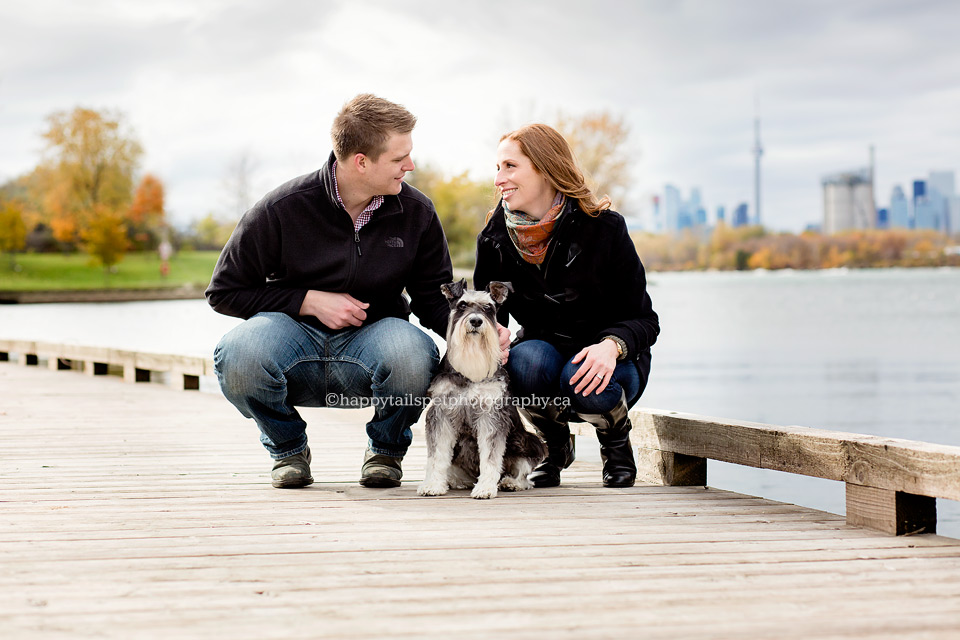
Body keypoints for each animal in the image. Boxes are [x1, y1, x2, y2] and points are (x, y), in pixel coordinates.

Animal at [418, 280, 548, 500]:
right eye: (462, 305)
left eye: (489, 308)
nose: (476, 321)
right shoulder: (442, 414)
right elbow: (437, 455)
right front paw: (433, 485)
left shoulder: (491, 415)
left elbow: (490, 456)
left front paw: (485, 488)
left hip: (531, 442)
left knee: (523, 473)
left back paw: (511, 483)